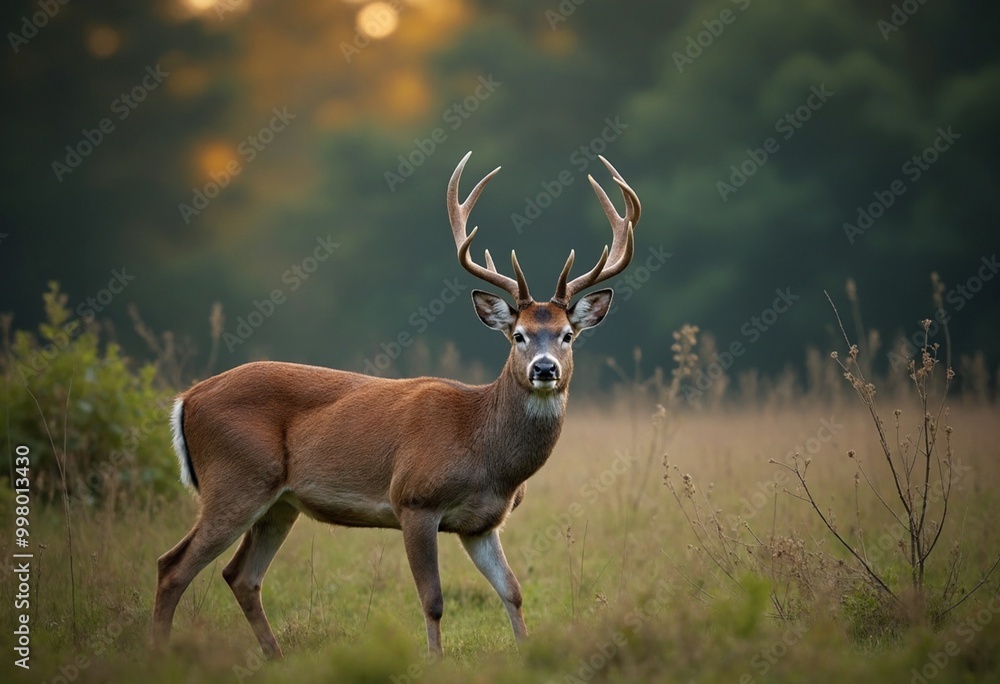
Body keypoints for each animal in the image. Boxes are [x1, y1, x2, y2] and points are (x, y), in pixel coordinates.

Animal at [152, 151, 641, 658]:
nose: (545, 369)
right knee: (173, 565)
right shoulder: (413, 499)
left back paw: (273, 658)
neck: (485, 450)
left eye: (567, 335)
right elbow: (433, 600)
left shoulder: (481, 524)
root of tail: (187, 397)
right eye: (519, 335)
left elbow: (513, 590)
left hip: (278, 502)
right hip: (234, 479)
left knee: (240, 575)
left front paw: (525, 653)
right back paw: (160, 653)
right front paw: (435, 662)